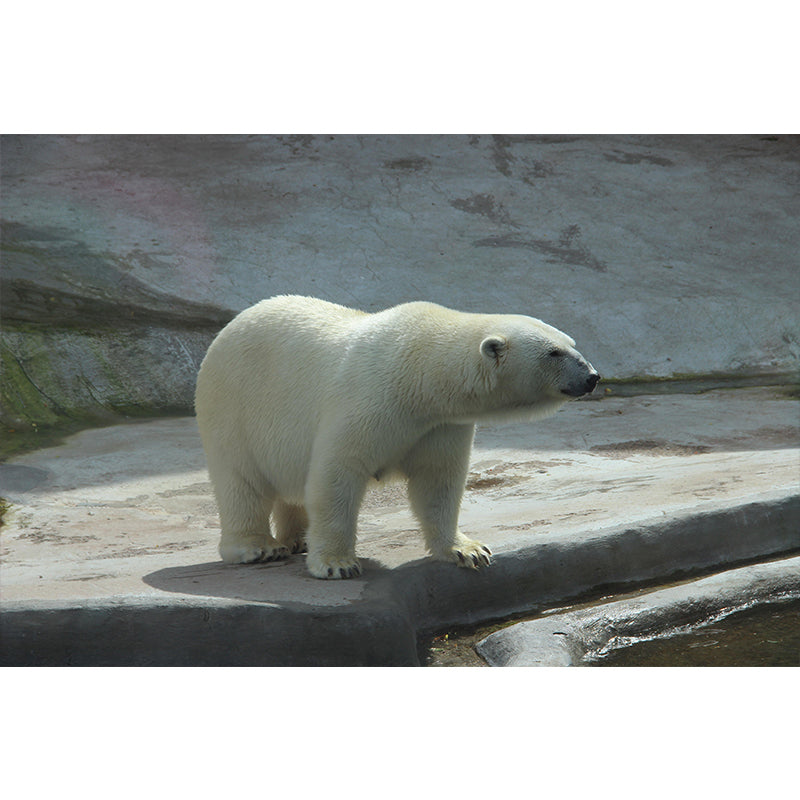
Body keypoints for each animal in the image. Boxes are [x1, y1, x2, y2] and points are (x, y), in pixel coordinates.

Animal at [195, 295, 599, 579]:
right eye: (554, 352)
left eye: (572, 343)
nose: (592, 376)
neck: (420, 374)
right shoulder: (369, 400)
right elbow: (337, 474)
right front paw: (338, 564)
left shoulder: (440, 425)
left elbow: (437, 481)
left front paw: (468, 551)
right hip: (233, 406)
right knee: (241, 481)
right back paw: (258, 547)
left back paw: (297, 538)